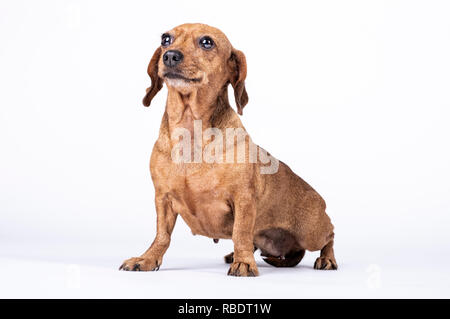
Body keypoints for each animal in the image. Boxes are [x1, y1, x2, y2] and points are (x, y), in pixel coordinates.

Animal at [118, 23, 336, 276]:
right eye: (165, 39)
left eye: (207, 42)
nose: (170, 55)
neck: (191, 133)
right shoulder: (163, 198)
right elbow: (162, 235)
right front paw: (148, 258)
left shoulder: (243, 200)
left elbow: (240, 232)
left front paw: (244, 262)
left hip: (311, 232)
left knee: (330, 235)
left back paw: (327, 258)